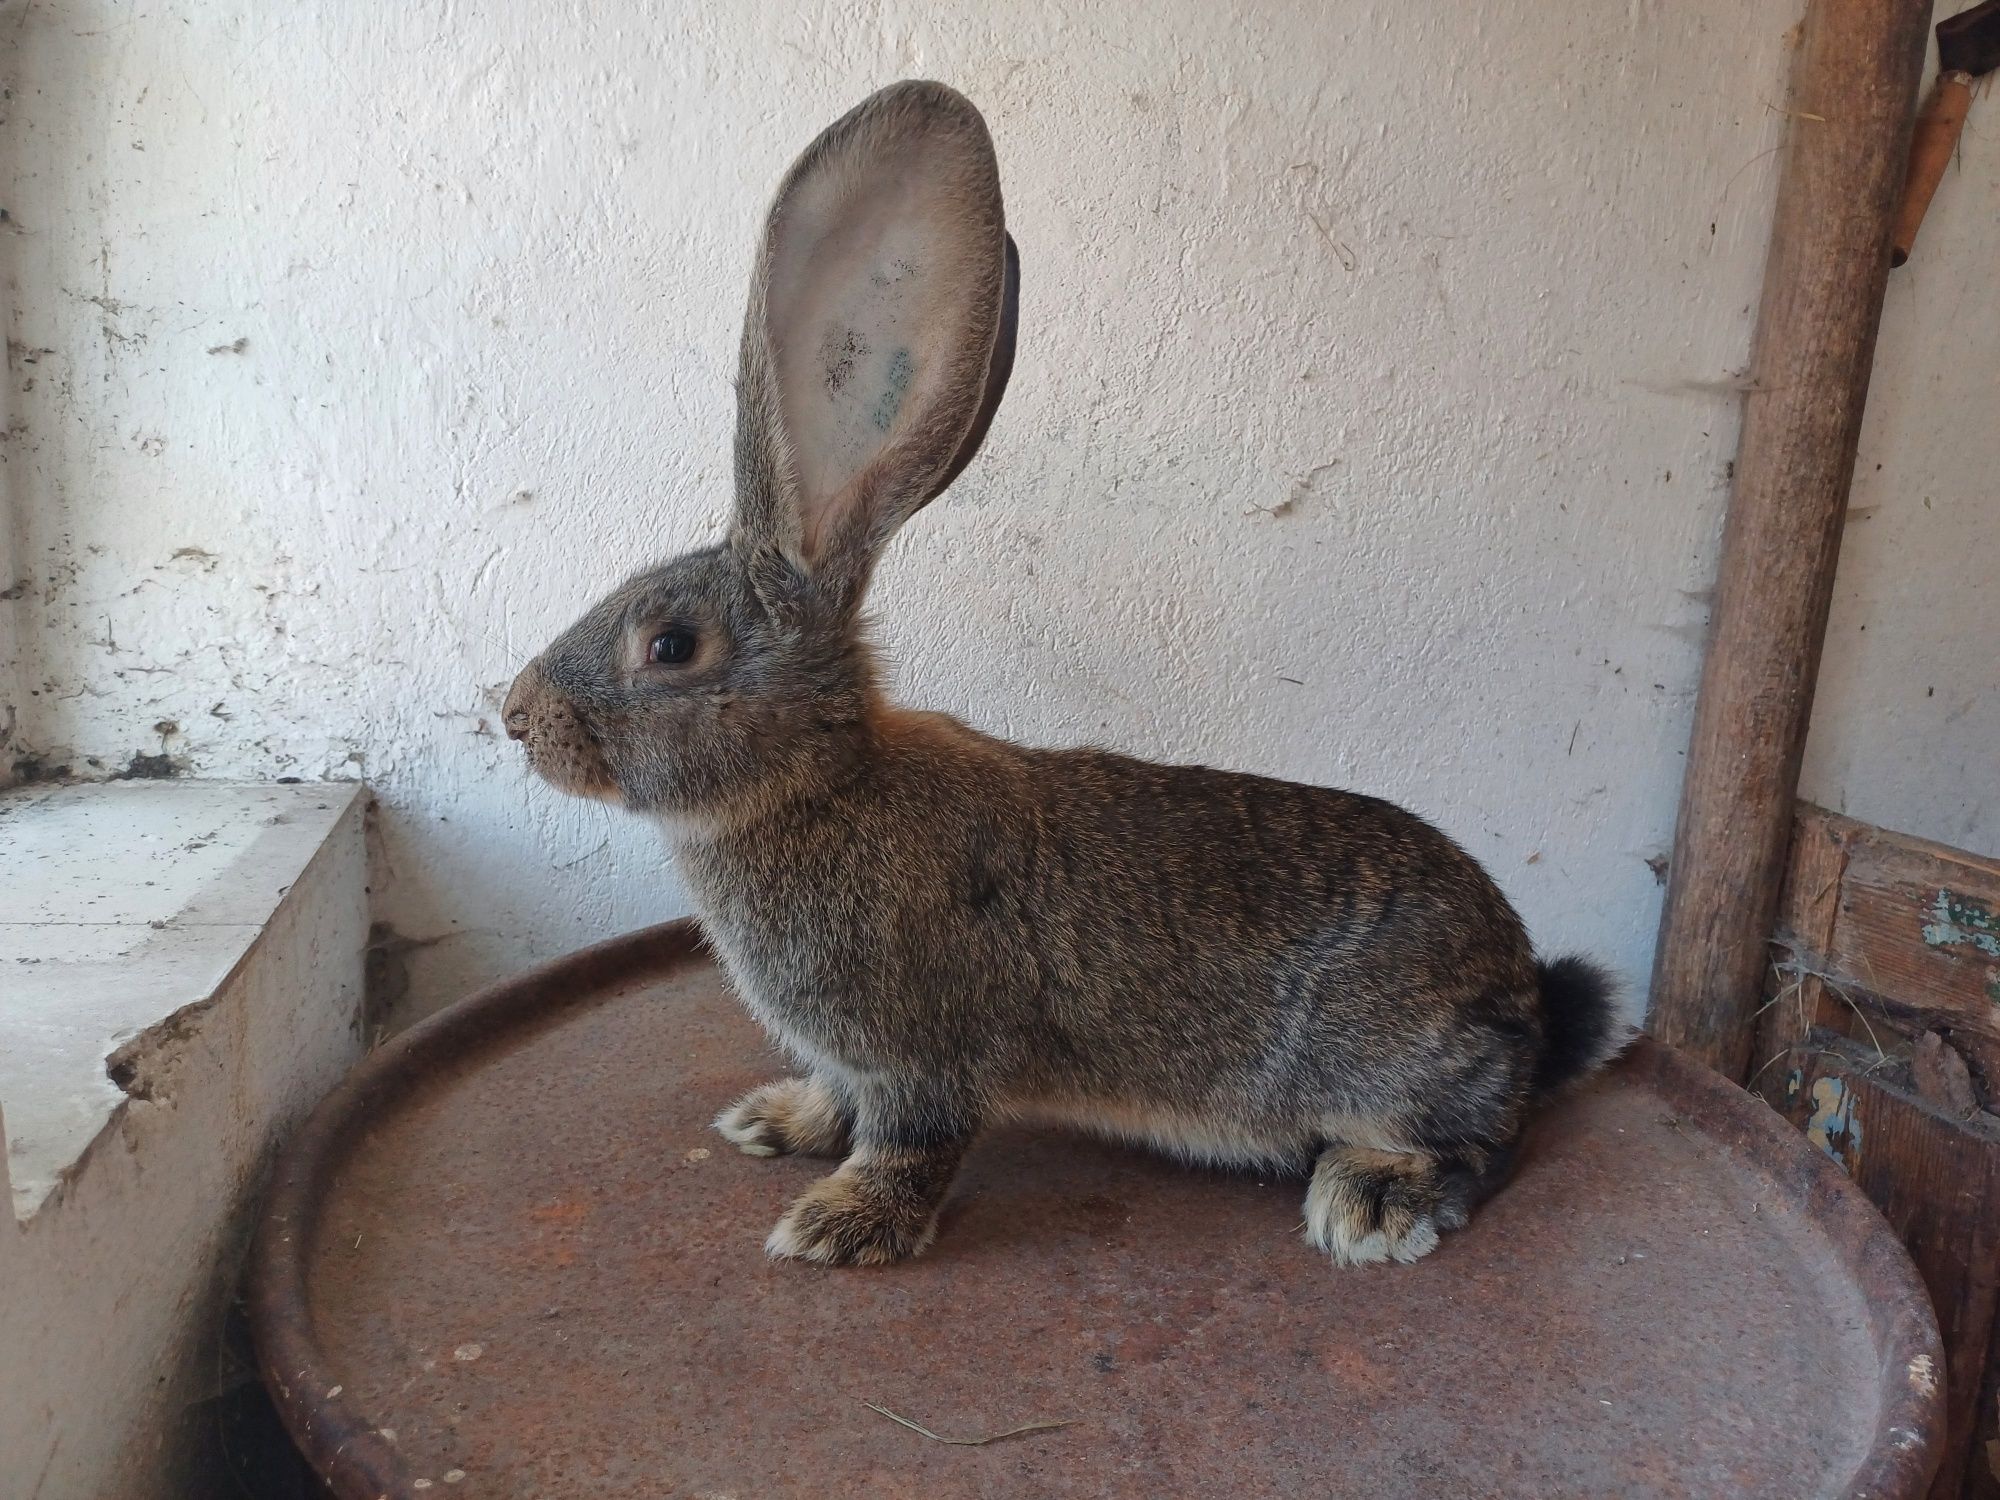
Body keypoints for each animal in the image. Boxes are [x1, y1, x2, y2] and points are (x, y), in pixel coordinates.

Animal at [504, 79, 1624, 1272]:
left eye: (671, 646)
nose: (516, 717)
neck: (819, 783)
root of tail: (1521, 998)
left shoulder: (919, 1051)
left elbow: (911, 1140)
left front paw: (837, 1227)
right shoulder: (853, 1055)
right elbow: (836, 1099)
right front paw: (775, 1123)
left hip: (1392, 1063)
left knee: (1476, 1142)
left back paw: (1370, 1202)